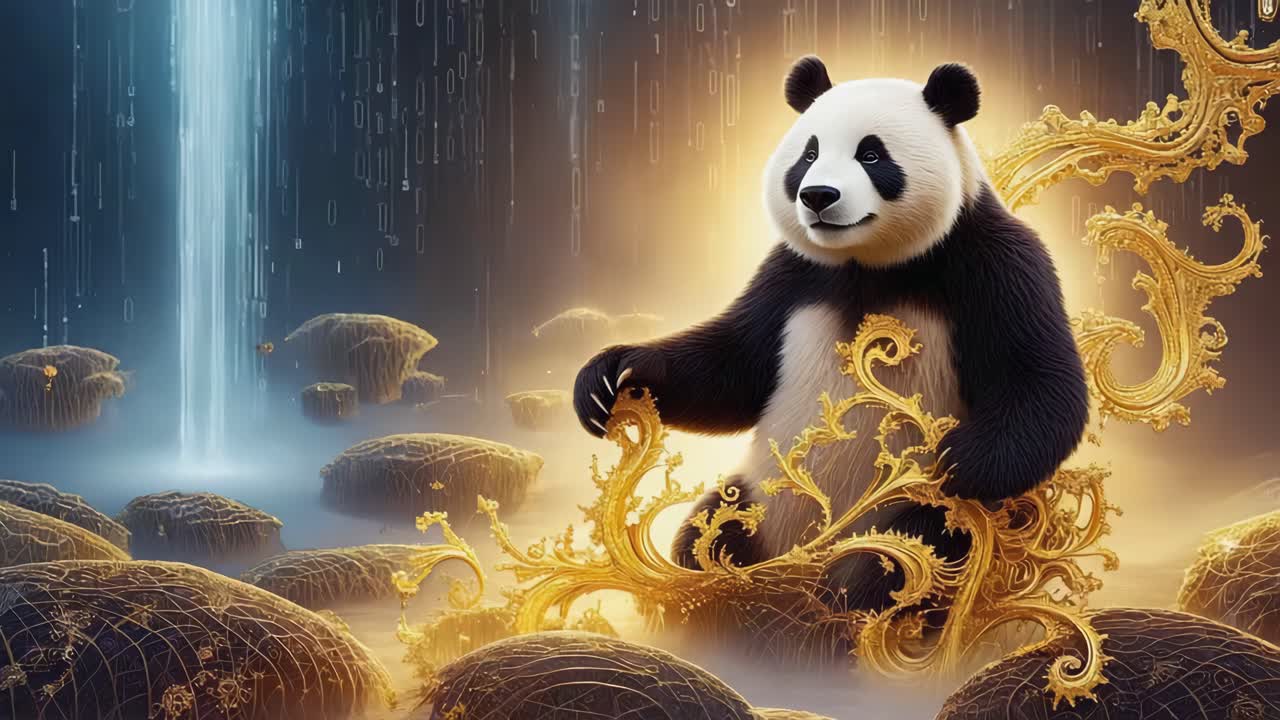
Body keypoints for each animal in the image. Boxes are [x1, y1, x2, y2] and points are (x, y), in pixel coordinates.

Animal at [573, 56, 1088, 612]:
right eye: (809, 153)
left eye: (872, 154)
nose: (818, 195)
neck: (868, 264)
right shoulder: (792, 275)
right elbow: (733, 367)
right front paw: (613, 376)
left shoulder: (993, 264)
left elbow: (1040, 381)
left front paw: (961, 460)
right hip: (755, 505)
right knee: (706, 535)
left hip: (910, 529)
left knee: (899, 569)